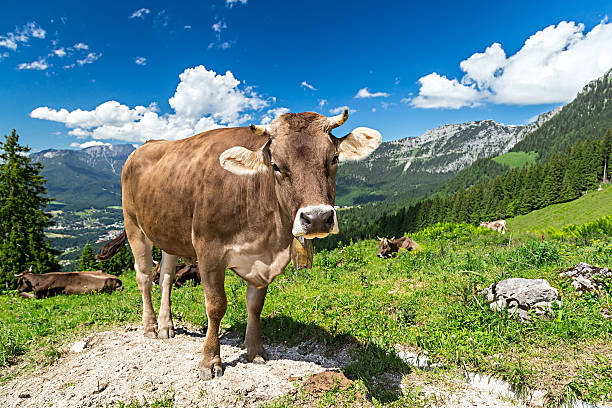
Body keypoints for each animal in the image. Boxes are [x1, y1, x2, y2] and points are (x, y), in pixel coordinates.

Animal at [97, 108, 380, 380]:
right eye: (276, 165)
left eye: (334, 159)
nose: (318, 218)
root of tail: (146, 144)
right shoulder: (208, 251)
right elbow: (216, 306)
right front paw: (210, 361)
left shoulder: (263, 262)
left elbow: (255, 305)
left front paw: (254, 351)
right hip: (134, 225)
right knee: (144, 275)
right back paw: (151, 326)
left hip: (168, 232)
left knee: (165, 276)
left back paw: (167, 325)